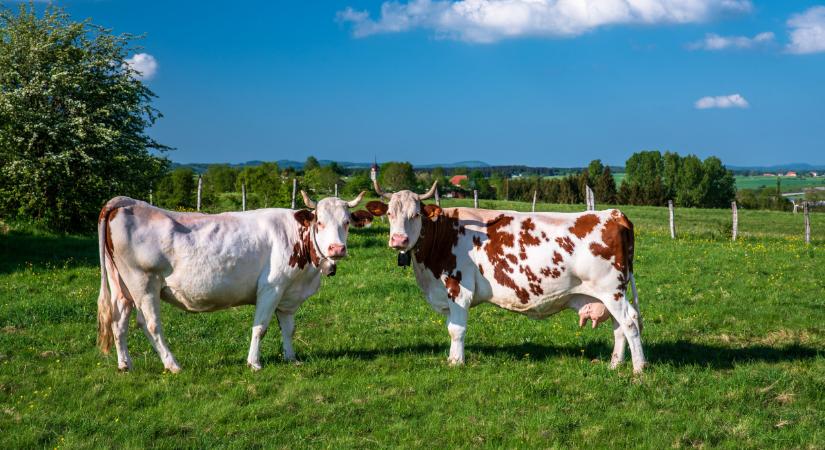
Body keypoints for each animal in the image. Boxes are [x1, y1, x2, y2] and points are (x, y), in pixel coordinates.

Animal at [96, 192, 370, 370]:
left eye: (347, 222)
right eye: (319, 222)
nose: (337, 249)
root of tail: (127, 202)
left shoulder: (288, 293)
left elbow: (288, 328)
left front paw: (291, 358)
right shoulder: (272, 287)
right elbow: (260, 327)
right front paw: (254, 363)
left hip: (121, 286)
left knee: (119, 321)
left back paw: (125, 365)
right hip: (144, 283)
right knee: (149, 324)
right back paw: (173, 365)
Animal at [366, 179, 644, 372]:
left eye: (415, 214)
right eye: (389, 214)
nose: (398, 240)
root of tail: (614, 214)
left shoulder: (459, 290)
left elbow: (457, 330)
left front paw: (456, 362)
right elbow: (451, 327)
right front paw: (452, 359)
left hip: (611, 290)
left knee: (629, 322)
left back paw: (639, 369)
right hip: (608, 294)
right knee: (619, 327)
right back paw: (615, 365)